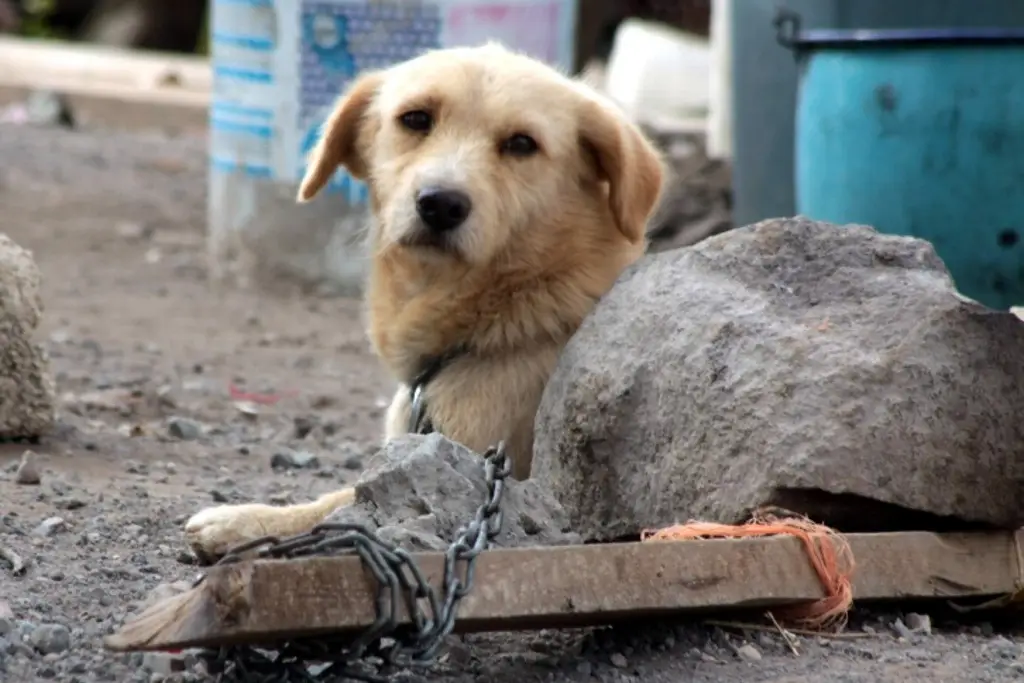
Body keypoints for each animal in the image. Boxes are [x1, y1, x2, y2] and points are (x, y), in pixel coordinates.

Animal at [183, 41, 663, 561]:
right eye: (415, 118)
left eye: (522, 143)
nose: (441, 204)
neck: (515, 320)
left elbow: (343, 501)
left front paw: (245, 521)